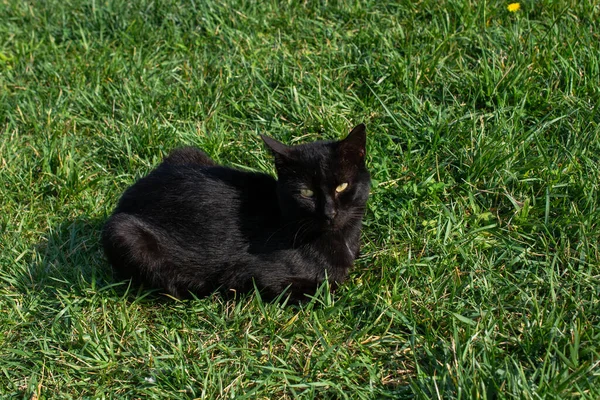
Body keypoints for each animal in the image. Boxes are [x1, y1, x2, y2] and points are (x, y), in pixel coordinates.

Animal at [102, 123, 370, 302]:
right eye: (306, 192)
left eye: (342, 186)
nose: (329, 213)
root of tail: (128, 195)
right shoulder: (255, 276)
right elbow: (326, 287)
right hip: (122, 233)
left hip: (187, 151)